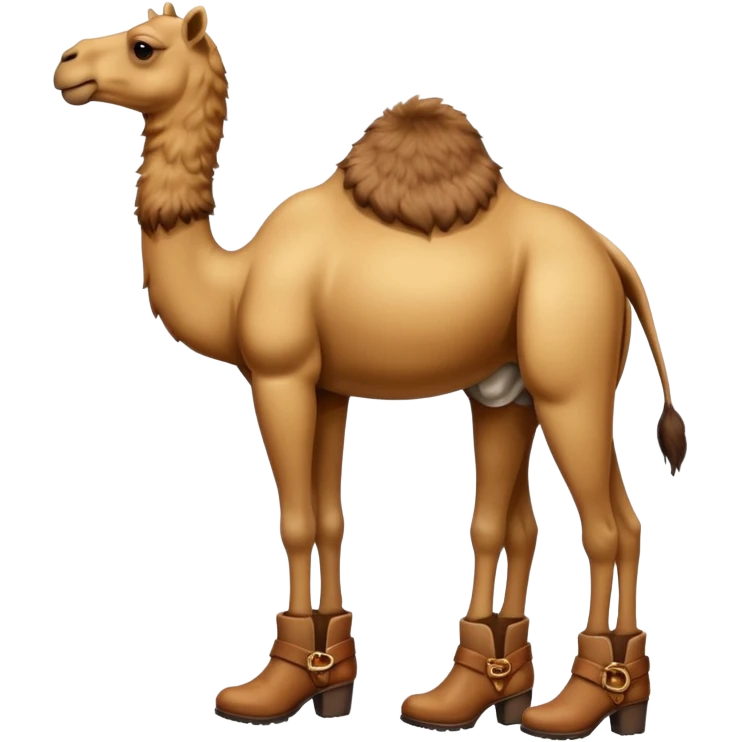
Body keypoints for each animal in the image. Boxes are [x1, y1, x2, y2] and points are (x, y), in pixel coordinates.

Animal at [54, 3, 685, 735]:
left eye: (144, 47)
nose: (68, 63)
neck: (233, 282)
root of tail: (613, 258)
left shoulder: (279, 376)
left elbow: (296, 520)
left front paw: (269, 689)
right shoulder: (326, 387)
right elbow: (330, 518)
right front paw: (324, 674)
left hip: (569, 386)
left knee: (604, 527)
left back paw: (581, 704)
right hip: (515, 389)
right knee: (557, 523)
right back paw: (494, 693)